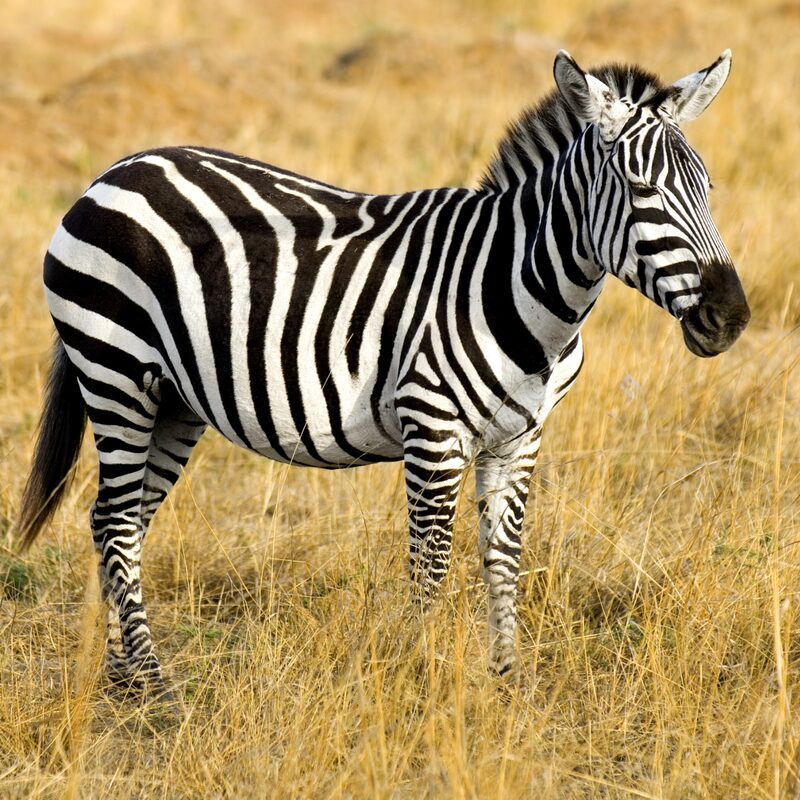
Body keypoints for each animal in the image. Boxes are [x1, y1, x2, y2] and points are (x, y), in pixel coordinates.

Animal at [18, 50, 749, 698]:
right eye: (641, 190)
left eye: (708, 190)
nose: (731, 317)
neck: (520, 285)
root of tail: (116, 170)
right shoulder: (433, 430)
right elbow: (429, 566)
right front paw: (419, 684)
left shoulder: (520, 438)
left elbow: (503, 558)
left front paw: (509, 683)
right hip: (115, 372)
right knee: (117, 523)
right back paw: (155, 685)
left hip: (173, 401)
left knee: (117, 520)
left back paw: (122, 677)